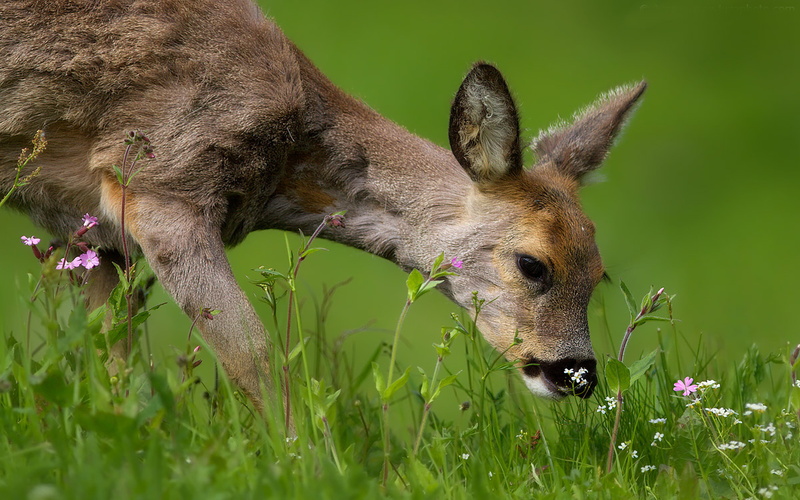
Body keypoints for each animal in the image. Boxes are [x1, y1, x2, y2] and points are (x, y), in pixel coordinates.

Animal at [0, 0, 646, 410]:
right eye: (532, 264)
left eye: (599, 273)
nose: (578, 374)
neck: (285, 165)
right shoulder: (161, 179)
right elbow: (256, 356)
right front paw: (301, 458)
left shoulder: (100, 238)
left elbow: (109, 362)